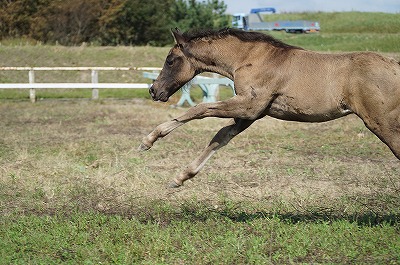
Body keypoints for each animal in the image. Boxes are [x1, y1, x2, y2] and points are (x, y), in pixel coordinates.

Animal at [141, 27, 400, 187]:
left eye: (170, 60)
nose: (154, 90)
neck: (249, 58)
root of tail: (395, 65)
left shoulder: (250, 106)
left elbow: (198, 110)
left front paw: (149, 139)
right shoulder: (251, 114)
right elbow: (220, 137)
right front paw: (180, 177)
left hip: (383, 123)